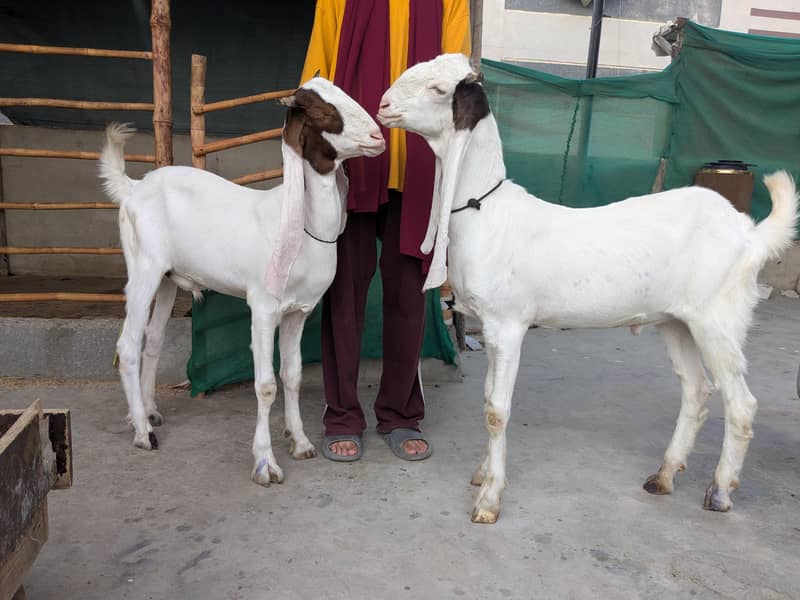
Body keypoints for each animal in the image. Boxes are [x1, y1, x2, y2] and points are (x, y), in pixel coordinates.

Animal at [99, 77, 385, 486]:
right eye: (324, 111)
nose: (378, 137)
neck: (301, 225)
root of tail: (133, 188)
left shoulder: (299, 311)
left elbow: (293, 376)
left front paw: (300, 442)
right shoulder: (263, 307)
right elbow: (265, 385)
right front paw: (265, 463)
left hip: (167, 277)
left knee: (152, 341)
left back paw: (151, 411)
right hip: (143, 267)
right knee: (127, 344)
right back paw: (142, 431)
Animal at [378, 53, 798, 523]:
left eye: (438, 90)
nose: (384, 104)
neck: (486, 211)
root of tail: (748, 232)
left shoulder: (509, 325)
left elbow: (496, 411)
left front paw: (489, 499)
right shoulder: (489, 327)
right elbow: (488, 398)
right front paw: (483, 473)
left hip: (718, 319)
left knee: (741, 402)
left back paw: (721, 490)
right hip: (677, 321)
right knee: (697, 390)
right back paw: (664, 475)